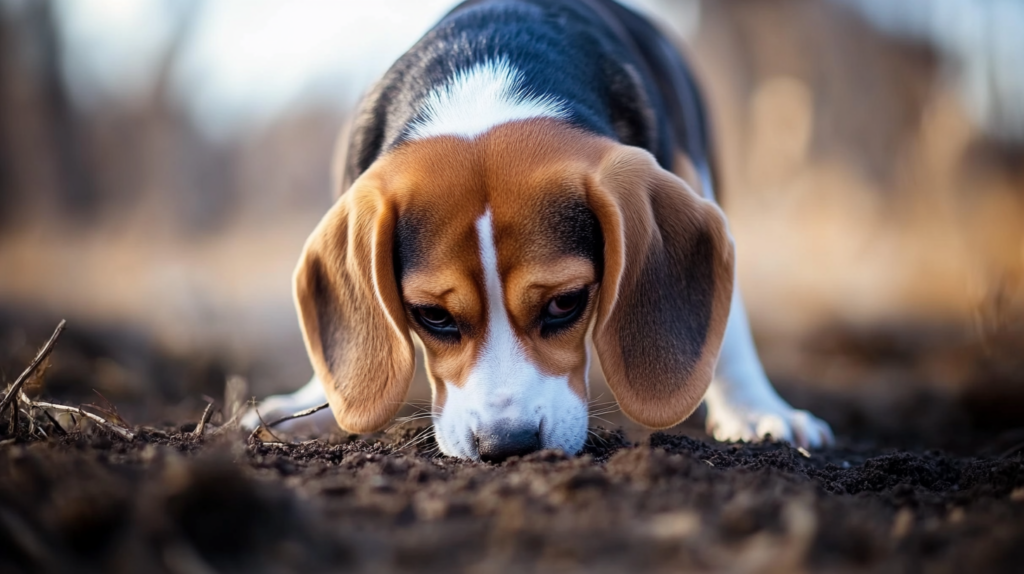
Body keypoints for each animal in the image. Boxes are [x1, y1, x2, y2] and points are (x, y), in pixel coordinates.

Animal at [243, 0, 835, 458]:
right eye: (432, 315)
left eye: (565, 303)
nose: (506, 446)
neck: (488, 70)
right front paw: (310, 405)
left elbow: (729, 329)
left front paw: (757, 412)